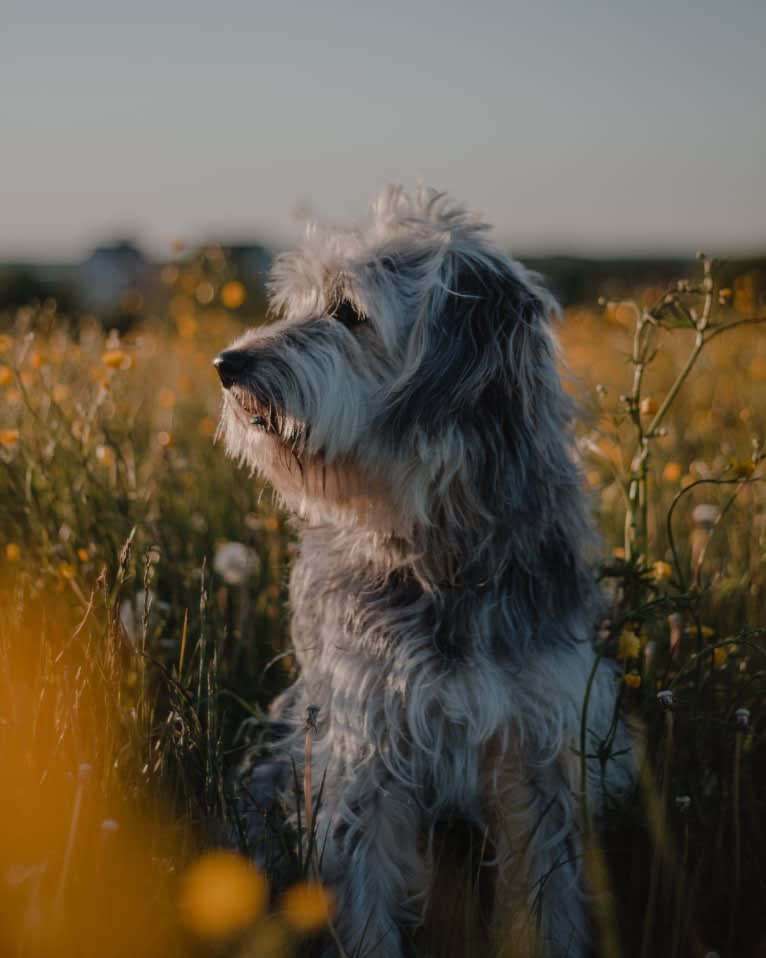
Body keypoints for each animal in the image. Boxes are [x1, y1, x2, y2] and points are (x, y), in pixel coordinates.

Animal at [214, 189, 636, 958]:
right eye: (299, 303)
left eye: (348, 313)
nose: (226, 362)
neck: (442, 558)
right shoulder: (363, 747)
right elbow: (366, 903)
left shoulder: (536, 751)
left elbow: (548, 898)